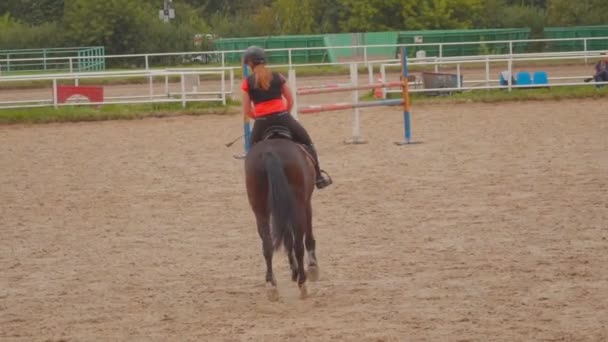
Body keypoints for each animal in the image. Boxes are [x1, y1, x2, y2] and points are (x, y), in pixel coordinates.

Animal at [245, 135, 320, 300]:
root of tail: (270, 153)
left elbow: (287, 240)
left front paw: (294, 270)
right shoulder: (306, 203)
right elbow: (306, 237)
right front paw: (312, 267)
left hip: (260, 209)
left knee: (268, 245)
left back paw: (272, 286)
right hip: (298, 206)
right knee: (299, 244)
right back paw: (302, 283)